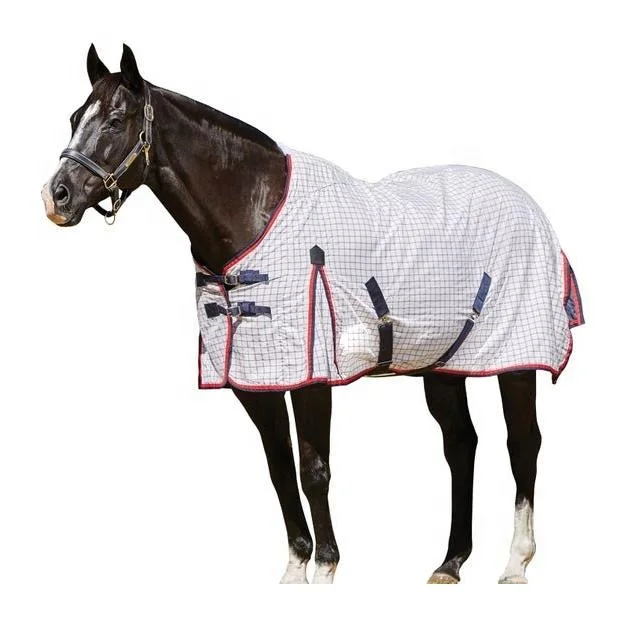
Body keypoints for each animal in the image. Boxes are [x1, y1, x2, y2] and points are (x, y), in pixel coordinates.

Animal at [42, 44, 583, 584]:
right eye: (73, 117)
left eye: (116, 121)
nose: (56, 196)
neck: (253, 215)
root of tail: (528, 205)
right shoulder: (255, 381)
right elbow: (280, 470)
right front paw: (295, 569)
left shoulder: (312, 376)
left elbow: (313, 470)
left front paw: (325, 568)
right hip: (443, 365)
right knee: (460, 445)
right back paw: (450, 563)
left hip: (515, 359)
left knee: (523, 444)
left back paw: (515, 563)